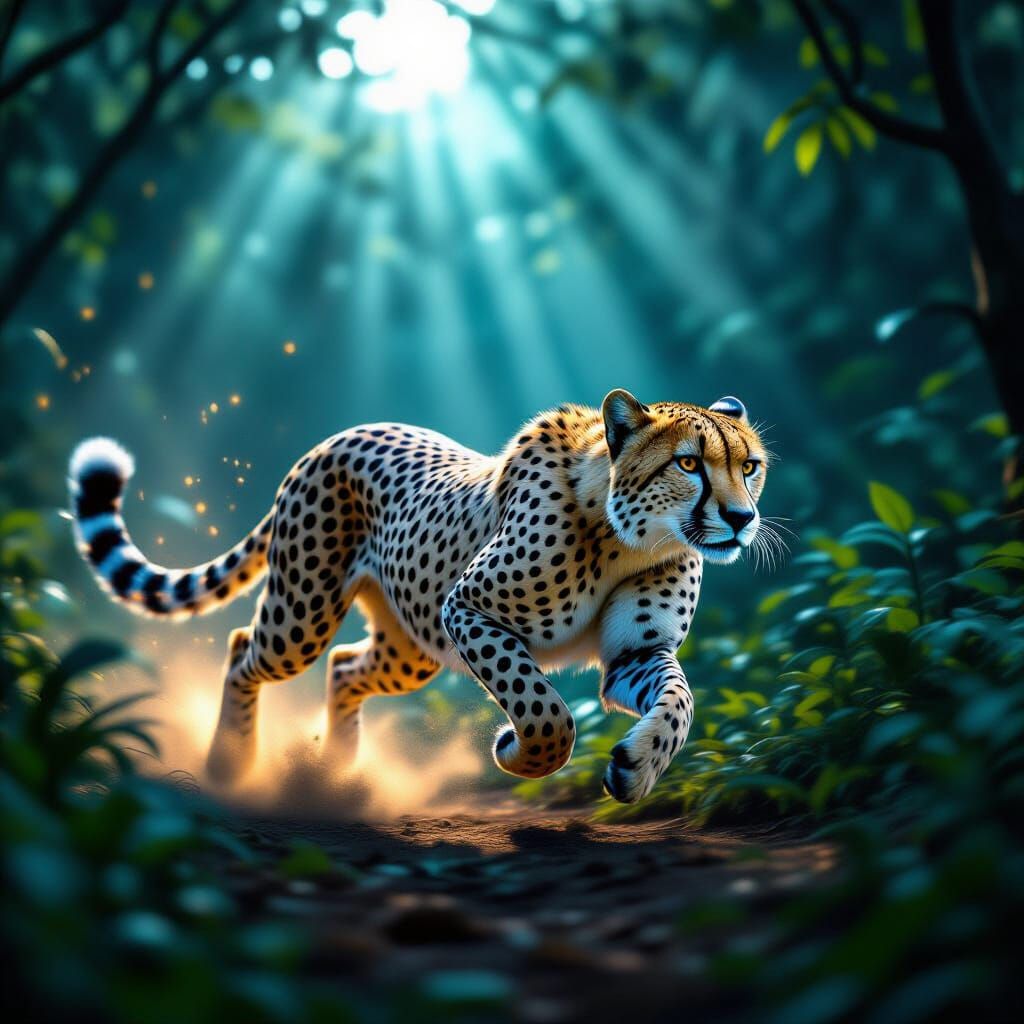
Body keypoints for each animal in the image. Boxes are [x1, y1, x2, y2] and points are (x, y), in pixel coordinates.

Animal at [69, 389, 769, 803]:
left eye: (750, 466)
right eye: (688, 463)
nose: (741, 519)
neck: (630, 536)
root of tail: (335, 436)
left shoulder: (634, 654)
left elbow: (680, 703)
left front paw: (640, 765)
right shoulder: (467, 608)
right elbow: (545, 712)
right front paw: (516, 752)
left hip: (409, 648)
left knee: (343, 665)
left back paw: (334, 772)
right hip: (303, 615)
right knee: (246, 647)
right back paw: (230, 764)